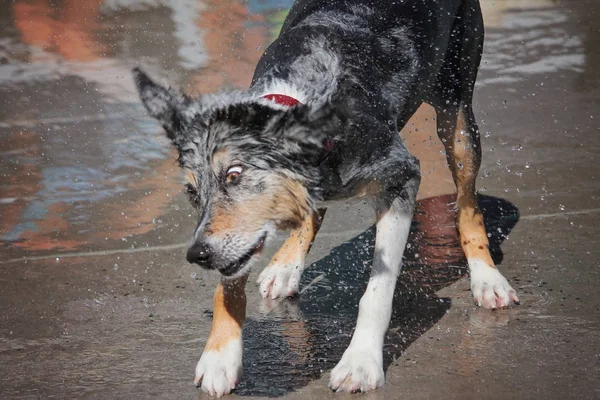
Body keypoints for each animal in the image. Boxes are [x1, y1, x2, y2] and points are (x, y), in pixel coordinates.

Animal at [134, 0, 516, 396]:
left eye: (234, 175)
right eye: (192, 192)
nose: (198, 255)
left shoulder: (401, 177)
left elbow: (377, 291)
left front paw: (360, 362)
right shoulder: (234, 236)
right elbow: (229, 286)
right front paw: (220, 356)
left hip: (457, 110)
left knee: (467, 201)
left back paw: (487, 278)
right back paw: (285, 266)